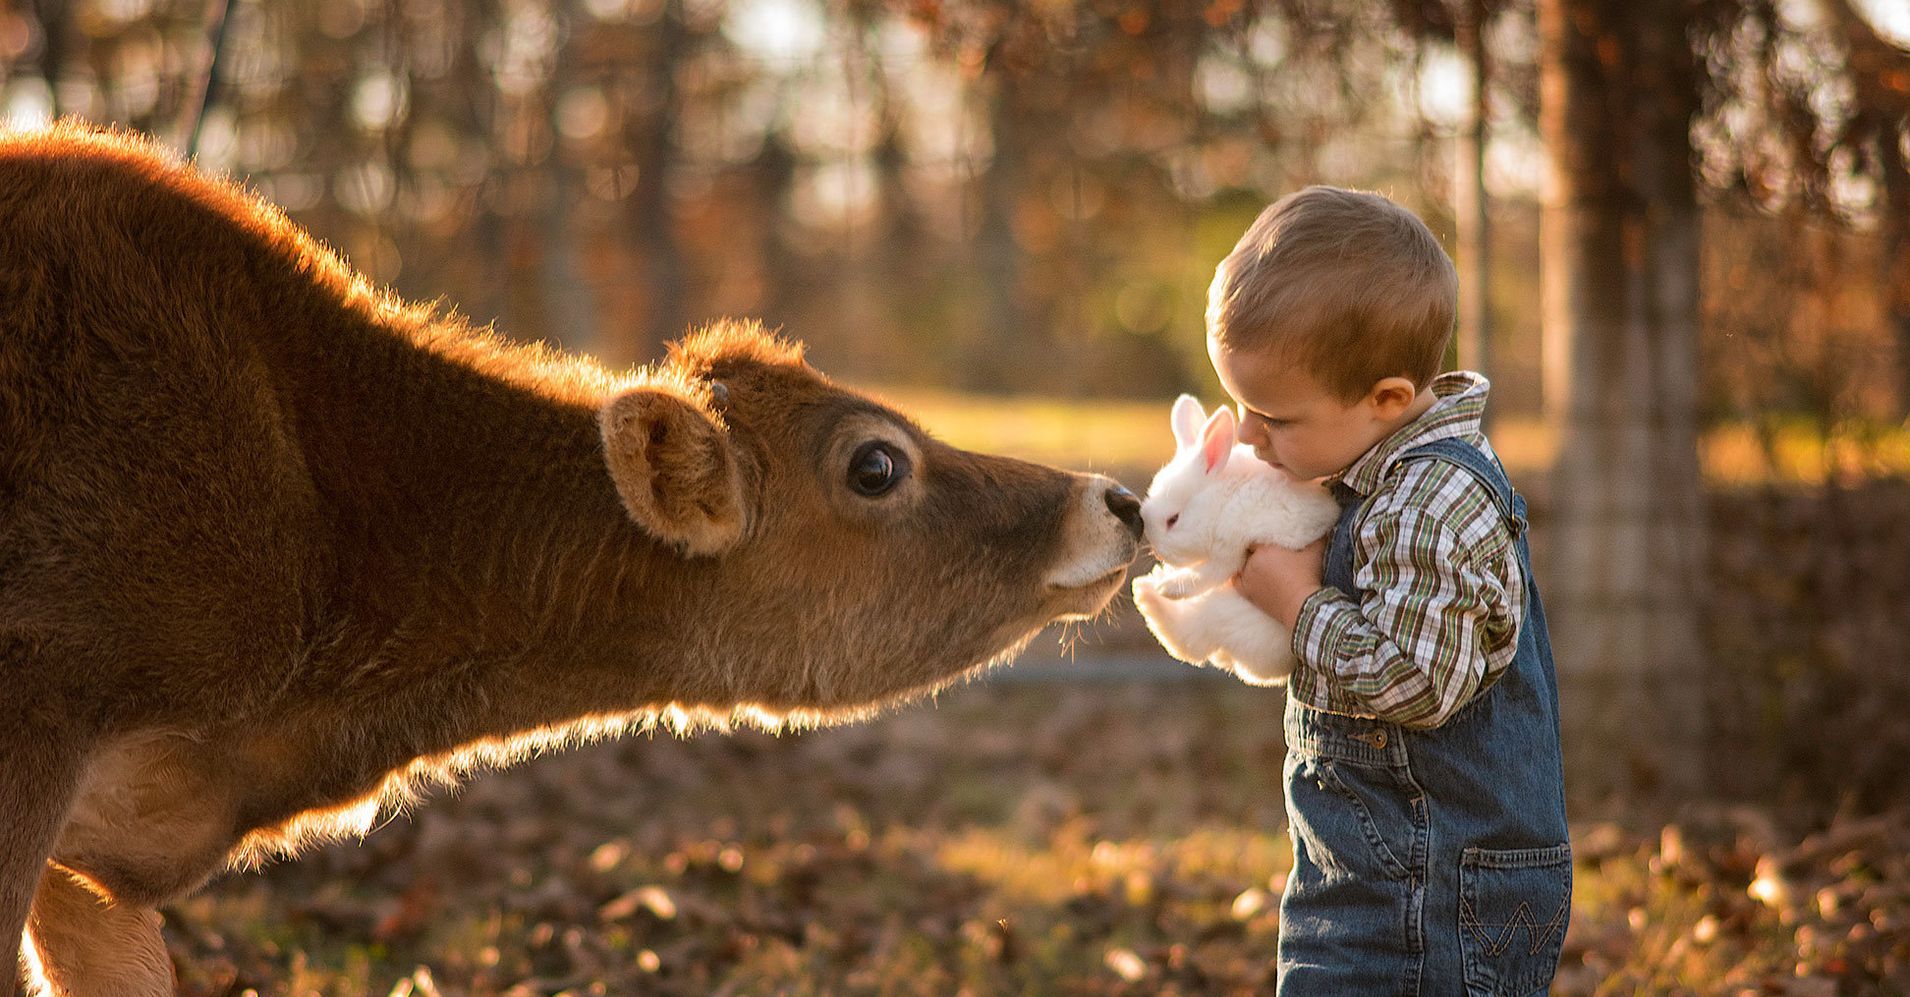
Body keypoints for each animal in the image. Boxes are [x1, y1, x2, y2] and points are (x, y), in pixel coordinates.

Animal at [1130, 391, 1344, 679]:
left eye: (1173, 520)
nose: (1157, 551)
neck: (1225, 497)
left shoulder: (1229, 549)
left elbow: (1204, 576)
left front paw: (1169, 586)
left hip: (1222, 612)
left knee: (1186, 639)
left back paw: (1147, 590)